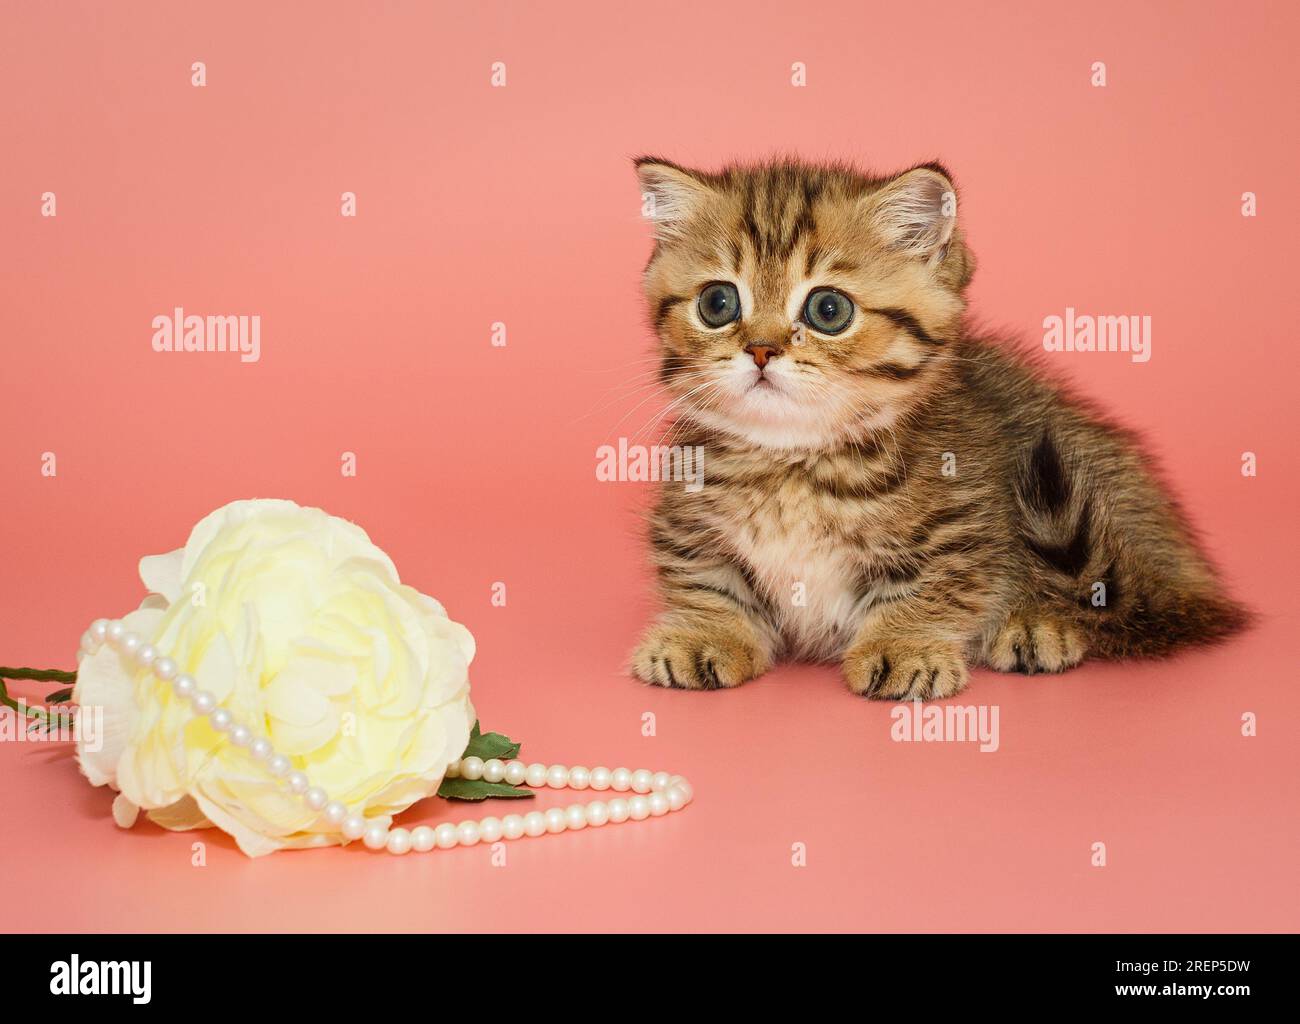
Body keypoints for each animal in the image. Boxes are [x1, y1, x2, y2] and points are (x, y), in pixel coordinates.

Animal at [629, 155, 1248, 701]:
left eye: (828, 310)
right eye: (718, 302)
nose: (760, 349)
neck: (794, 462)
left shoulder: (961, 520)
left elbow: (934, 584)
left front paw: (905, 645)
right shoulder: (687, 517)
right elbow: (704, 576)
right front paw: (703, 633)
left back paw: (1038, 623)